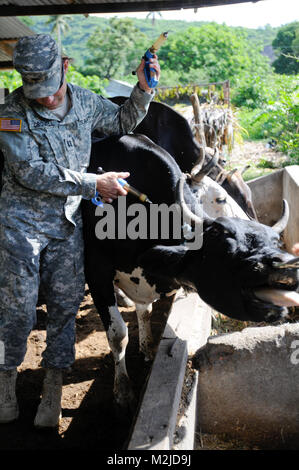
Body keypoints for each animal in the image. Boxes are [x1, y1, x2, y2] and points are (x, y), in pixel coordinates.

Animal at [82, 132, 299, 408]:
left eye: (274, 241)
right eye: (222, 239)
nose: (287, 265)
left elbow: (145, 311)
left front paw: (148, 347)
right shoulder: (95, 268)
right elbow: (118, 334)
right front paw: (123, 391)